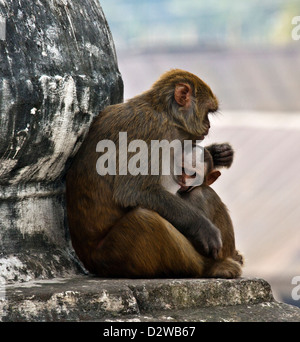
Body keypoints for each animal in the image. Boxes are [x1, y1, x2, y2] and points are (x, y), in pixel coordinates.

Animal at [67, 69, 236, 278]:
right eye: (208, 112)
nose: (209, 126)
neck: (164, 114)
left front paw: (218, 153)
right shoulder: (150, 130)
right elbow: (134, 191)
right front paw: (203, 228)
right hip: (112, 255)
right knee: (146, 220)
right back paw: (210, 267)